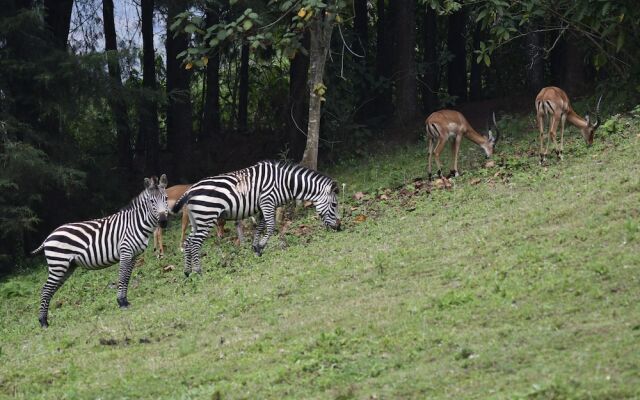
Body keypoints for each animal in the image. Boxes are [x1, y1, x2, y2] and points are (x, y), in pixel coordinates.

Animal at [32, 175, 169, 328]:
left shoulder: (133, 256)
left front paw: (125, 301)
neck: (136, 224)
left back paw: (44, 320)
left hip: (66, 267)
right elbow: (122, 278)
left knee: (50, 290)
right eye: (151, 201)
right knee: (45, 289)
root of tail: (49, 237)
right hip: (58, 265)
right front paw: (121, 302)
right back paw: (43, 322)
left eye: (166, 198)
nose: (163, 222)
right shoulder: (125, 251)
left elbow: (127, 278)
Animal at [170, 159, 340, 276]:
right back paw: (198, 271)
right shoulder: (267, 201)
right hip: (206, 217)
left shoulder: (264, 206)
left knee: (188, 242)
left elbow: (260, 227)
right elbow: (270, 226)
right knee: (195, 243)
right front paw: (262, 246)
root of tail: (189, 191)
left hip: (196, 220)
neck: (285, 182)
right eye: (334, 205)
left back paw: (187, 272)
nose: (340, 227)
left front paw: (256, 247)